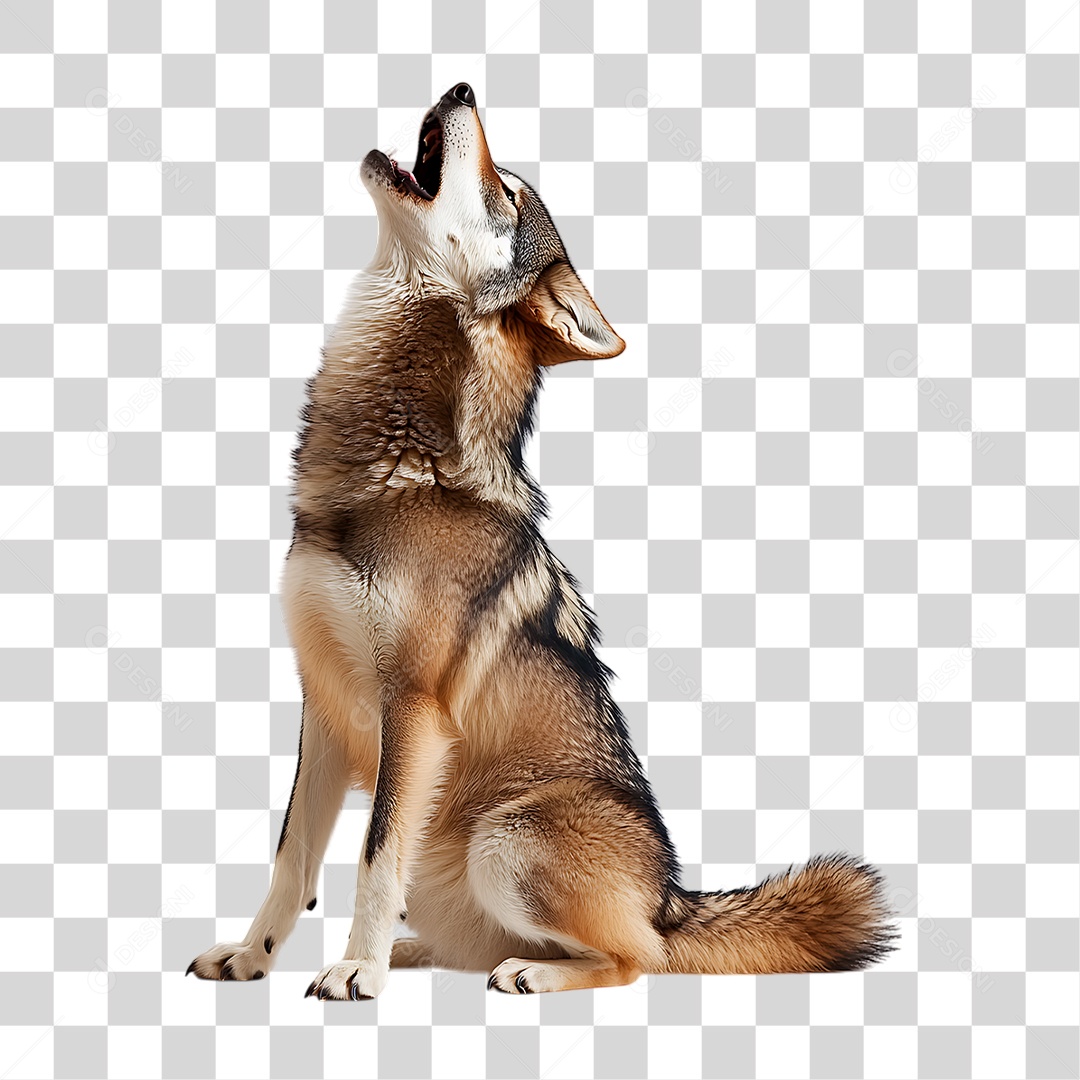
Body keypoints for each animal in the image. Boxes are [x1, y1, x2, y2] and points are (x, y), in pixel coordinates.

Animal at [188, 84, 895, 998]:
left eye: (511, 193)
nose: (460, 89)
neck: (395, 468)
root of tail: (672, 897)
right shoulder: (324, 708)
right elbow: (291, 858)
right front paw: (255, 957)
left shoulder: (411, 708)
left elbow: (372, 857)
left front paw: (356, 973)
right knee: (484, 942)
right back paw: (421, 956)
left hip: (506, 840)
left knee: (636, 960)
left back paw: (523, 971)